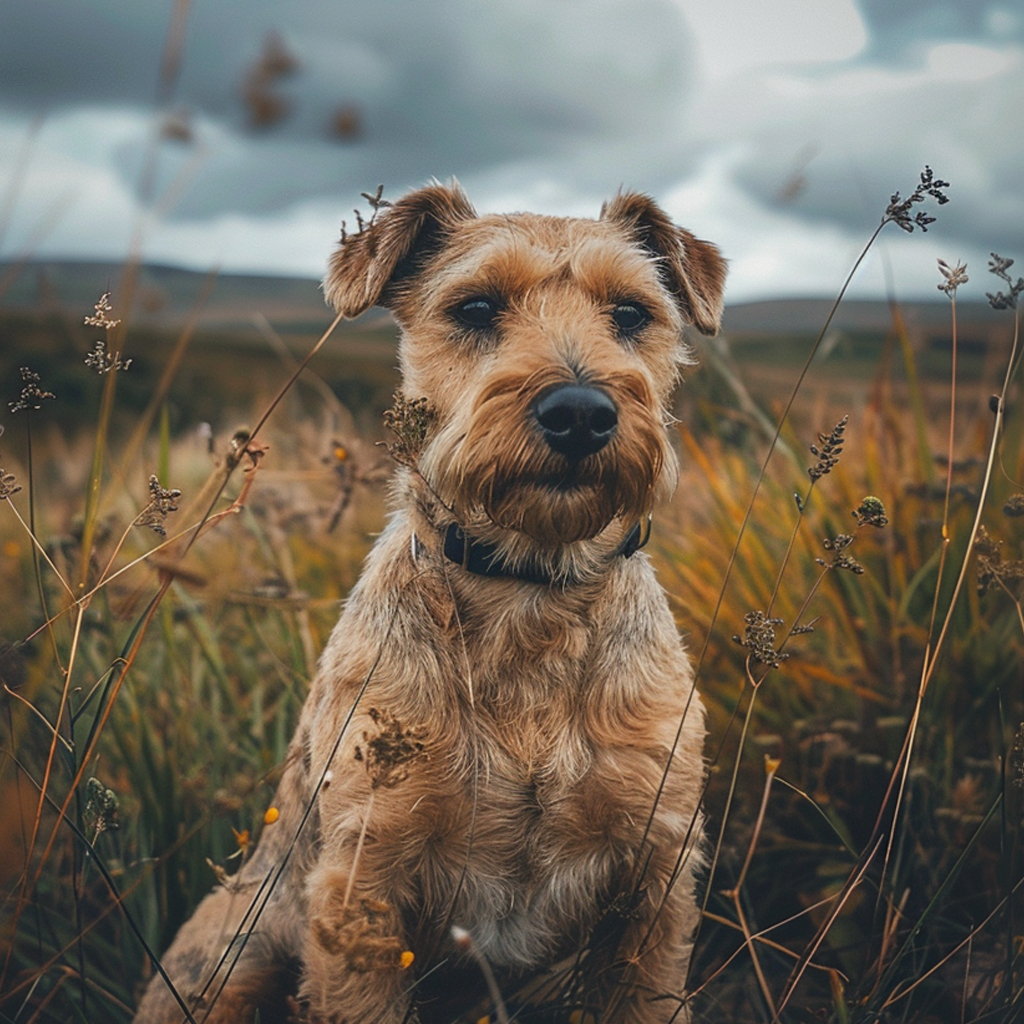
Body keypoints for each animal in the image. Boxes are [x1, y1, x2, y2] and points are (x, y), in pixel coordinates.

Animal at [132, 184, 729, 1024]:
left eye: (631, 312)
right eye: (475, 307)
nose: (581, 412)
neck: (528, 592)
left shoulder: (653, 876)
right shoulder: (366, 881)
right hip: (233, 955)